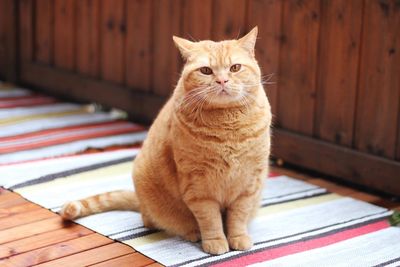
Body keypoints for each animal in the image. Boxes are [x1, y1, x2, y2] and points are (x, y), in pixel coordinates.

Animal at [60, 26, 272, 255]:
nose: (222, 81)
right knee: (151, 220)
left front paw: (238, 238)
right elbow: (210, 220)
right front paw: (215, 241)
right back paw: (191, 232)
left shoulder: (250, 183)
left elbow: (238, 216)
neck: (227, 127)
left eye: (235, 68)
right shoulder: (198, 187)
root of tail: (141, 201)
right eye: (206, 71)